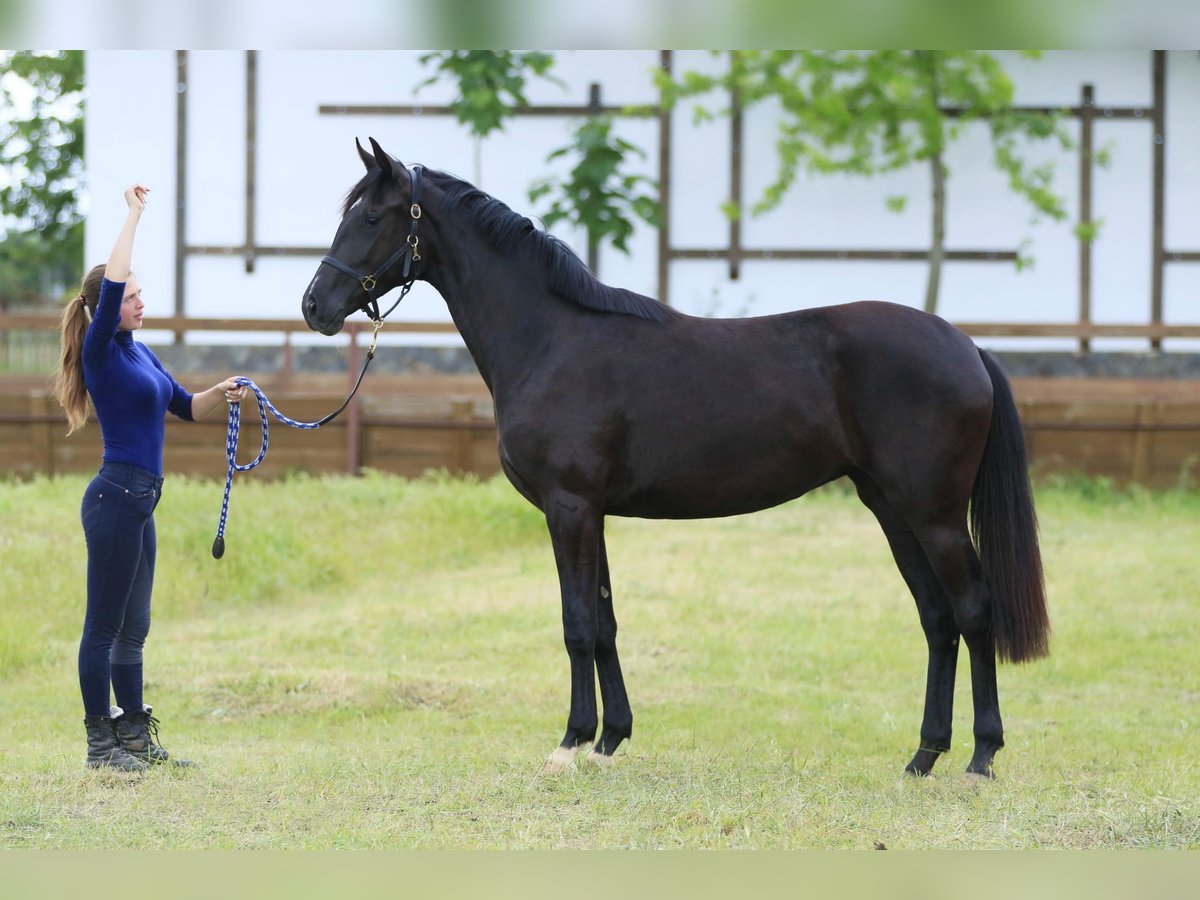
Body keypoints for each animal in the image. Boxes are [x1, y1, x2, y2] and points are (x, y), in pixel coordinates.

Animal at [304, 137, 1046, 777]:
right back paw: (923, 757)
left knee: (974, 611)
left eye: (370, 215)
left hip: (935, 514)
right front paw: (610, 740)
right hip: (892, 508)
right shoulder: (592, 511)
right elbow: (604, 621)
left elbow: (577, 624)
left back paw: (980, 758)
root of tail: (966, 346)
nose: (314, 306)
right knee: (937, 619)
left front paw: (570, 743)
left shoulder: (569, 507)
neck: (551, 340)